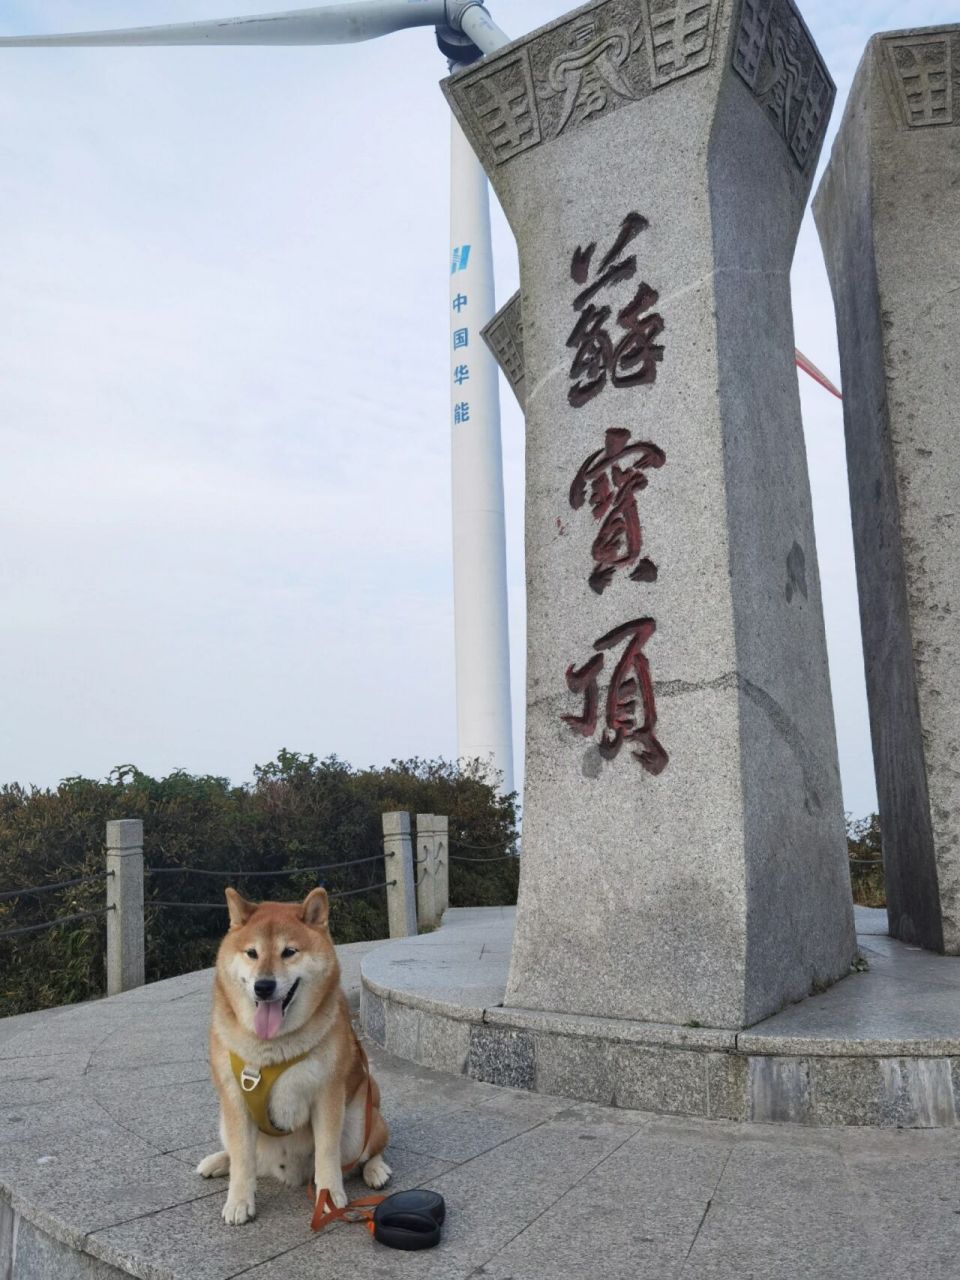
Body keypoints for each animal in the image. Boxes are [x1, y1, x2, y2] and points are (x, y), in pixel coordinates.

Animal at [195, 885, 391, 1223]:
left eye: (289, 952)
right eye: (252, 953)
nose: (263, 986)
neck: (272, 1048)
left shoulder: (327, 1095)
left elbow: (327, 1154)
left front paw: (328, 1196)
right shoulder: (234, 1100)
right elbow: (242, 1159)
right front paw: (239, 1201)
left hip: (358, 1123)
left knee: (369, 1151)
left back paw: (376, 1171)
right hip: (224, 1121)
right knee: (242, 1155)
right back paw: (218, 1162)